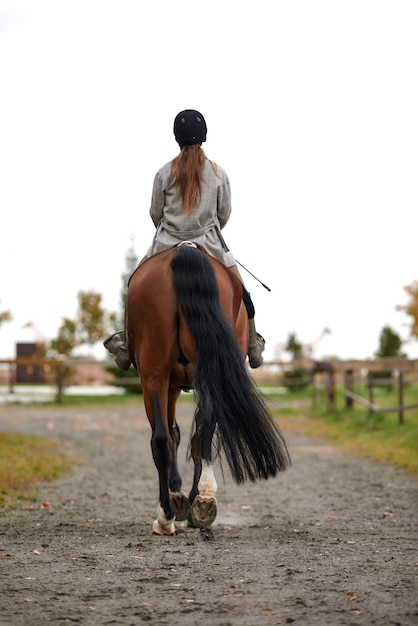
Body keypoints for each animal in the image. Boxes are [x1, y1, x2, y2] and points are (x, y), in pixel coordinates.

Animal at [126, 241, 290, 532]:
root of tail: (184, 252)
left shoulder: (169, 385)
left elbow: (174, 434)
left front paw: (178, 496)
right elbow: (181, 434)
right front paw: (184, 498)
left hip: (156, 375)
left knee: (167, 438)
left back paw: (171, 513)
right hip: (187, 373)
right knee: (193, 436)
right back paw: (198, 501)